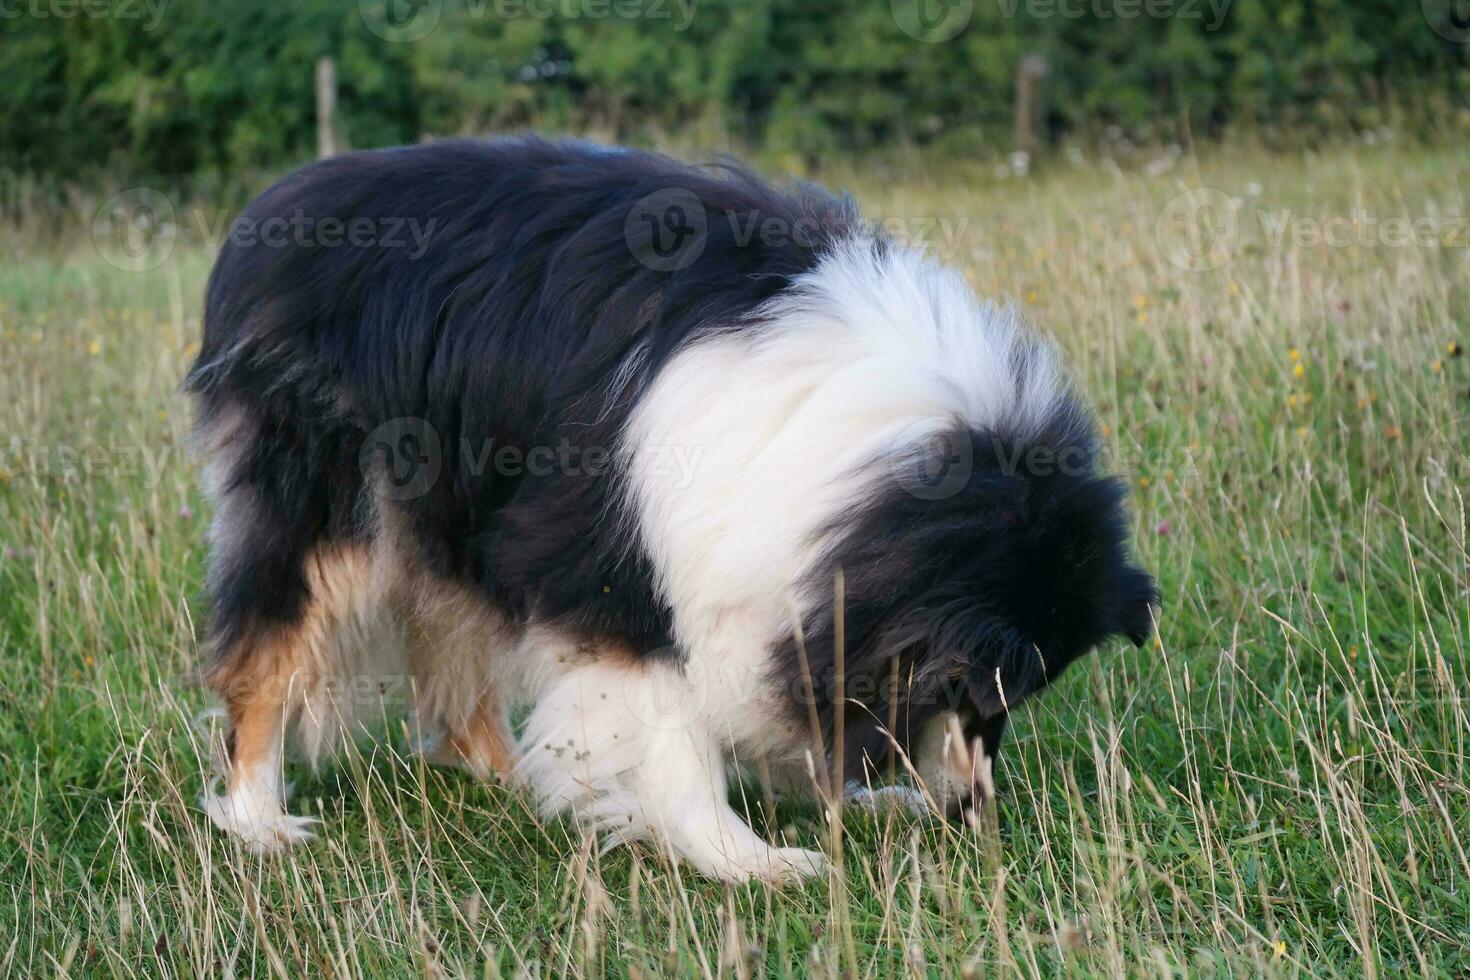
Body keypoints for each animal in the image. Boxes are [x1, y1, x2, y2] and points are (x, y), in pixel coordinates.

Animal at [186, 135, 1158, 881]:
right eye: (972, 691)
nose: (967, 813)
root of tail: (273, 212)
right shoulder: (617, 566)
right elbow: (675, 731)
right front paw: (754, 861)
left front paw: (862, 799)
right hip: (333, 508)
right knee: (267, 658)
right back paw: (259, 821)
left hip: (454, 515)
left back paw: (517, 778)